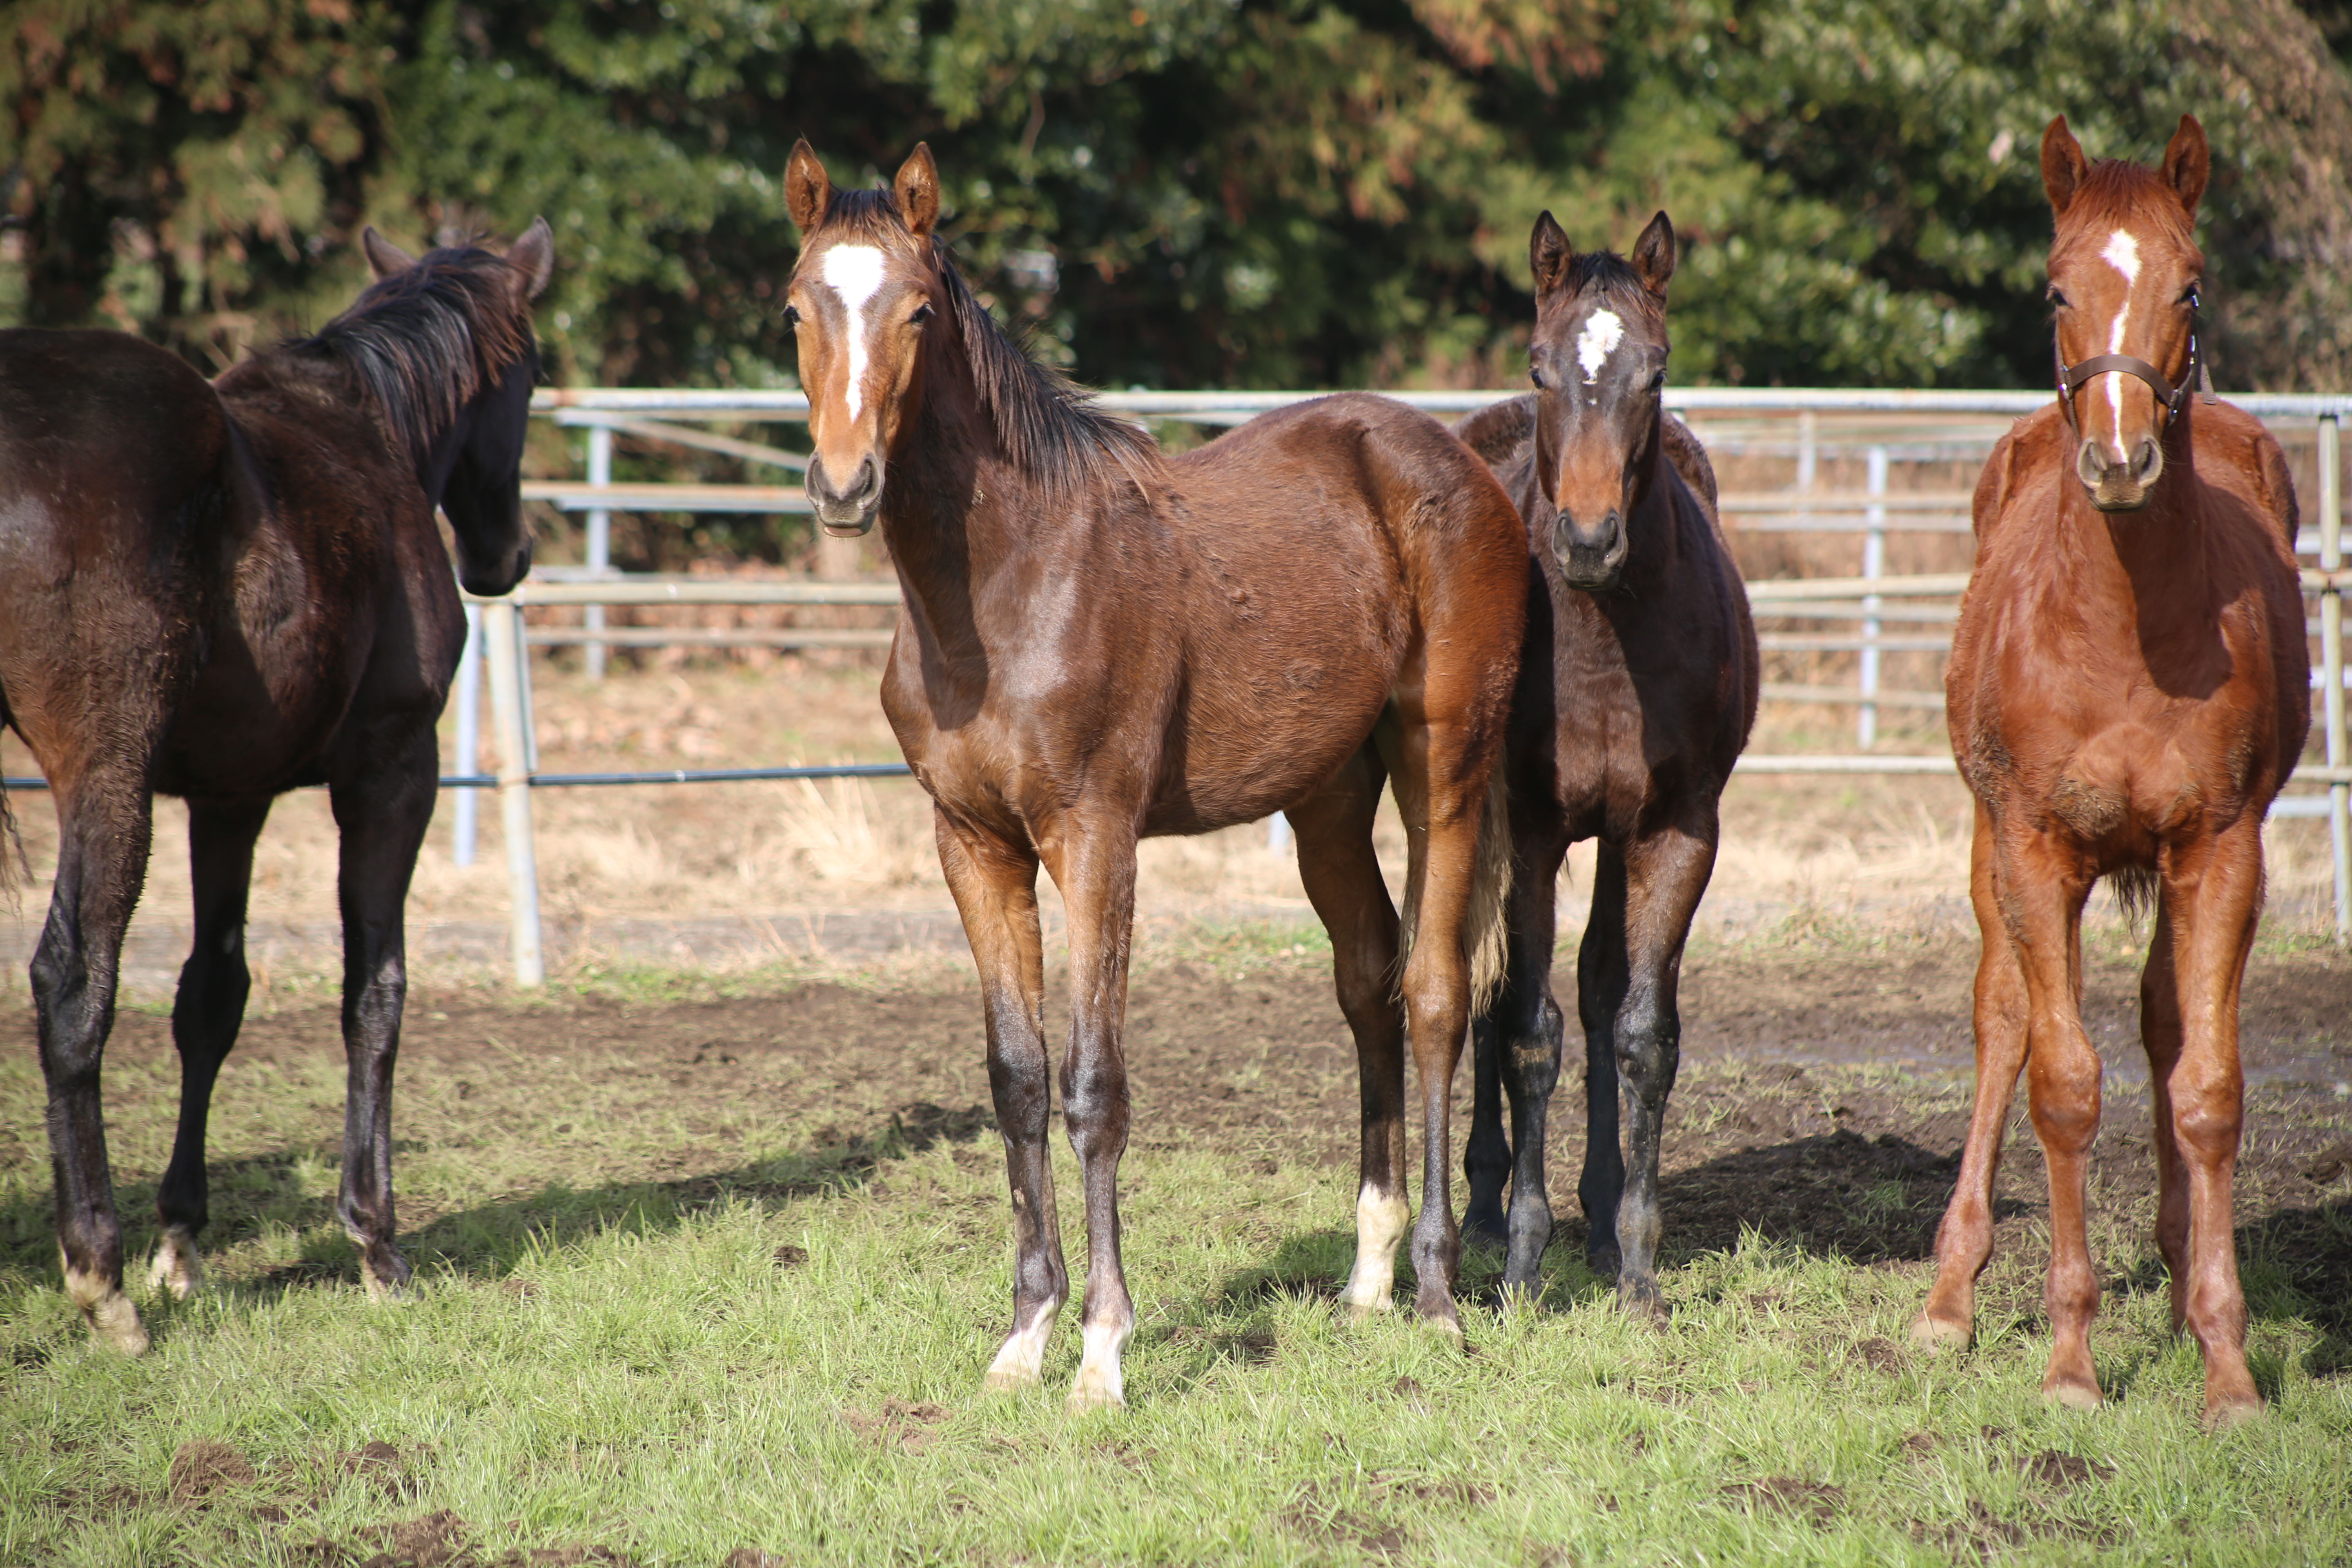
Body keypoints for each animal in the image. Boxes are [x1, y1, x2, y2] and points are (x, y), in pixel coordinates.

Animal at [0, 217, 552, 1354]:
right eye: (531, 372)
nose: (506, 557)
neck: (366, 433)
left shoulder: (229, 797)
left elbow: (212, 999)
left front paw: (182, 1241)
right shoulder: (394, 769)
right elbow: (375, 991)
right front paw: (376, 1241)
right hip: (107, 774)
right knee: (72, 985)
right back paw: (99, 1277)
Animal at [785, 144, 1524, 1410]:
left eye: (919, 311)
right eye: (795, 309)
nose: (845, 484)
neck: (1007, 587)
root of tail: (1458, 465)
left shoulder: (1093, 839)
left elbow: (1094, 1087)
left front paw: (1101, 1350)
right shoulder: (972, 843)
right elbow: (1017, 1078)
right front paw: (1024, 1335)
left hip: (1445, 773)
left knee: (1431, 994)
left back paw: (1433, 1293)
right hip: (1326, 800)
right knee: (1368, 980)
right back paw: (1369, 1276)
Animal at [1449, 208, 1768, 1316]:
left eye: (1654, 372)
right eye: (1543, 368)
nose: (1587, 539)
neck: (1595, 642)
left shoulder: (1675, 830)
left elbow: (1636, 1032)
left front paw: (1633, 1263)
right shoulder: (1531, 830)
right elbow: (1526, 1031)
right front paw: (1517, 1261)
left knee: (1594, 986)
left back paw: (1591, 1220)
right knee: (1482, 997)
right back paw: (1478, 1209)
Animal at [1919, 116, 2305, 1429]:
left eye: (2188, 285)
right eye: (2054, 289)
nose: (2122, 459)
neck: (2122, 631)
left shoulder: (2221, 851)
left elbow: (2206, 1088)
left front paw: (2226, 1366)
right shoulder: (2036, 849)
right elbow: (2060, 1082)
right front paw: (2069, 1363)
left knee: (2160, 1022)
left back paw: (2182, 1270)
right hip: (1990, 846)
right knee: (2000, 1018)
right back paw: (1949, 1295)